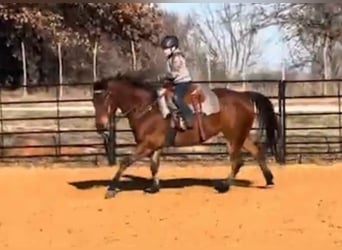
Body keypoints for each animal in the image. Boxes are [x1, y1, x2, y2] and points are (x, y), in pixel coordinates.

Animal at [91, 71, 280, 198]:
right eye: (93, 100)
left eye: (105, 97)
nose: (100, 126)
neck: (148, 109)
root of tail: (244, 95)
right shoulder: (156, 146)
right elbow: (154, 166)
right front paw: (153, 188)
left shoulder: (147, 145)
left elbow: (125, 162)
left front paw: (111, 189)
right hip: (240, 134)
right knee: (256, 152)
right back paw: (269, 180)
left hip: (233, 136)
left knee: (237, 161)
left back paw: (224, 186)